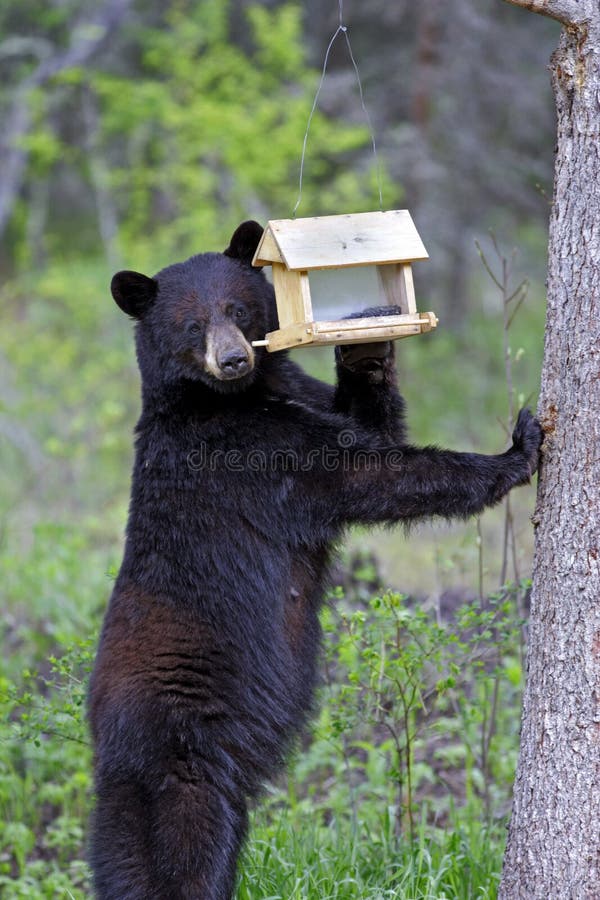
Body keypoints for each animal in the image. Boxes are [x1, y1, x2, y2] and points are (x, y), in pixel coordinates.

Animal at [88, 220, 542, 900]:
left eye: (238, 310)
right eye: (191, 326)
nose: (233, 358)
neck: (234, 396)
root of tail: (105, 745)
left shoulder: (296, 395)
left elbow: (367, 425)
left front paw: (366, 341)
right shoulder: (249, 453)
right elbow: (366, 472)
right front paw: (516, 450)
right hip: (183, 748)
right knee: (187, 844)